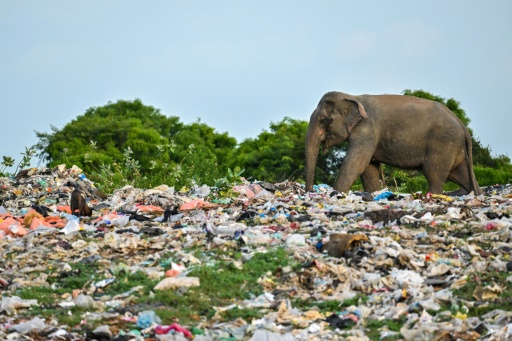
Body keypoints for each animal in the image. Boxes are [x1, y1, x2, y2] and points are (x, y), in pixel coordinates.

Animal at [306, 91, 482, 195]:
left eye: (322, 121)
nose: (310, 192)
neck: (353, 97)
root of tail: (463, 126)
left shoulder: (367, 130)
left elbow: (356, 163)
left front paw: (336, 194)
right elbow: (369, 168)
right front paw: (374, 195)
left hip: (444, 143)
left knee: (434, 174)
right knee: (460, 175)